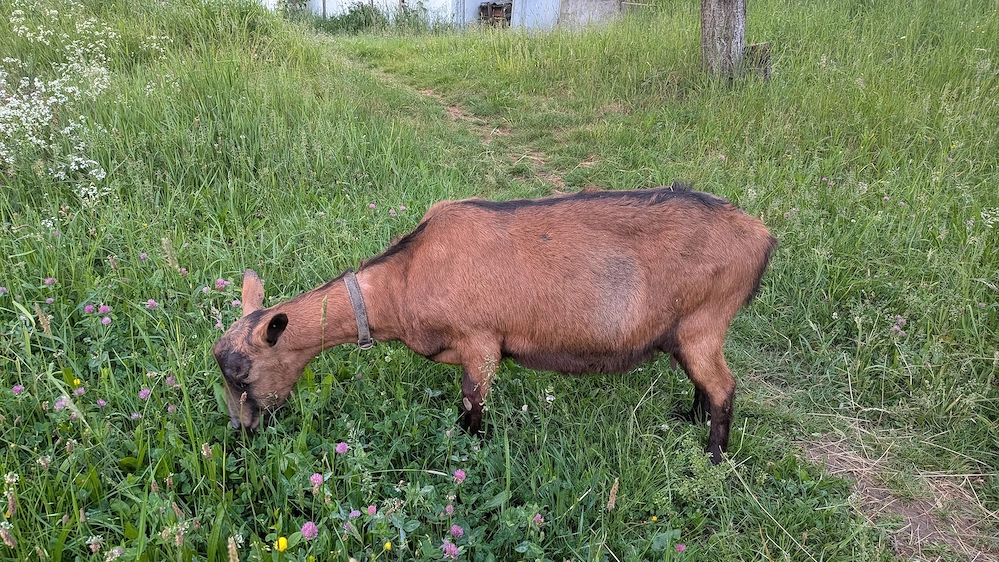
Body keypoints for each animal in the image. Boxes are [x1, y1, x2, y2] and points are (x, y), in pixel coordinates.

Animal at [212, 184, 777, 464]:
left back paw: (714, 456)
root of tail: (761, 237)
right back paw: (691, 418)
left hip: (706, 321)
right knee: (705, 382)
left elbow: (471, 407)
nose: (242, 432)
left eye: (241, 375)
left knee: (724, 386)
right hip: (686, 331)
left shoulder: (480, 343)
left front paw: (470, 454)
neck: (405, 277)